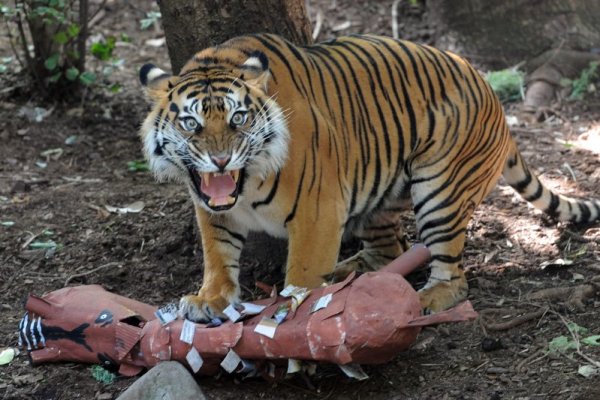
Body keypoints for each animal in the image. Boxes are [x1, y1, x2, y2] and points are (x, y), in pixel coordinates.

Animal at [139, 33, 600, 322]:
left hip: (440, 192)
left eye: (238, 119)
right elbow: (217, 257)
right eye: (191, 124)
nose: (220, 160)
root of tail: (489, 90)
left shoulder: (318, 210)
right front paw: (210, 300)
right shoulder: (212, 209)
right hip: (377, 198)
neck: (246, 183)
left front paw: (289, 315)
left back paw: (428, 296)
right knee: (390, 247)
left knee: (452, 273)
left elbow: (301, 272)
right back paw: (353, 274)